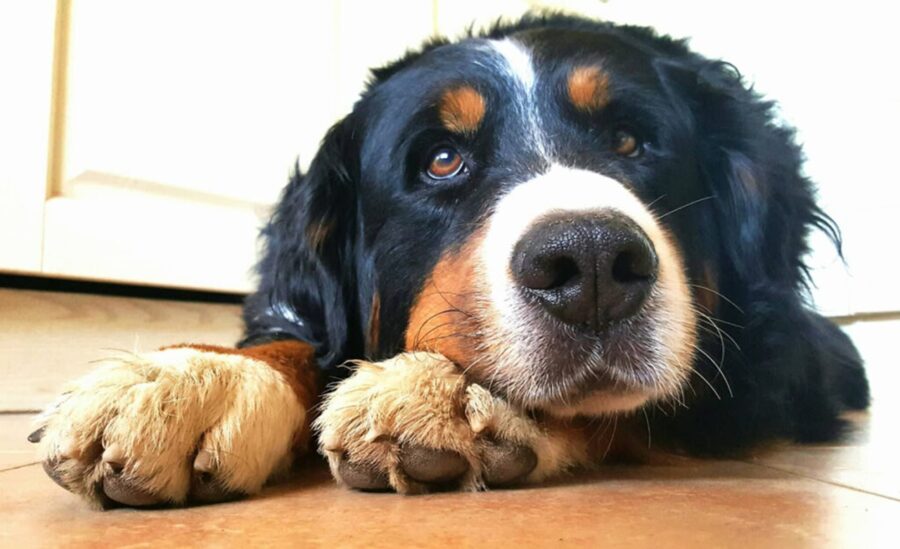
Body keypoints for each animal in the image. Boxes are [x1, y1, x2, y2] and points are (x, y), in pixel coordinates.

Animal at [31, 13, 868, 510]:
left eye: (631, 141)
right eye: (440, 160)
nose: (592, 261)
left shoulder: (752, 370)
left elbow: (623, 412)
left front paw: (448, 398)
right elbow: (298, 342)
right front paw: (192, 380)